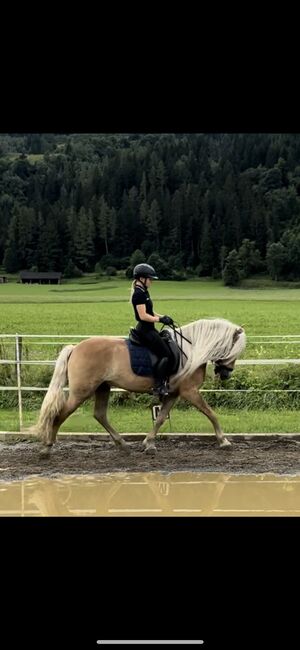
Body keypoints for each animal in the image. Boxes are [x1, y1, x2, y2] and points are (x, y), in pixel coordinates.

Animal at [34, 316, 246, 454]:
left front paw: (149, 443)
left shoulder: (174, 393)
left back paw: (122, 444)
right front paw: (224, 441)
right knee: (60, 414)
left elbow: (160, 418)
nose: (226, 374)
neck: (191, 351)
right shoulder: (190, 391)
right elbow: (211, 413)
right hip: (81, 392)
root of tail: (76, 348)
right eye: (234, 349)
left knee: (100, 415)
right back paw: (47, 447)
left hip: (103, 387)